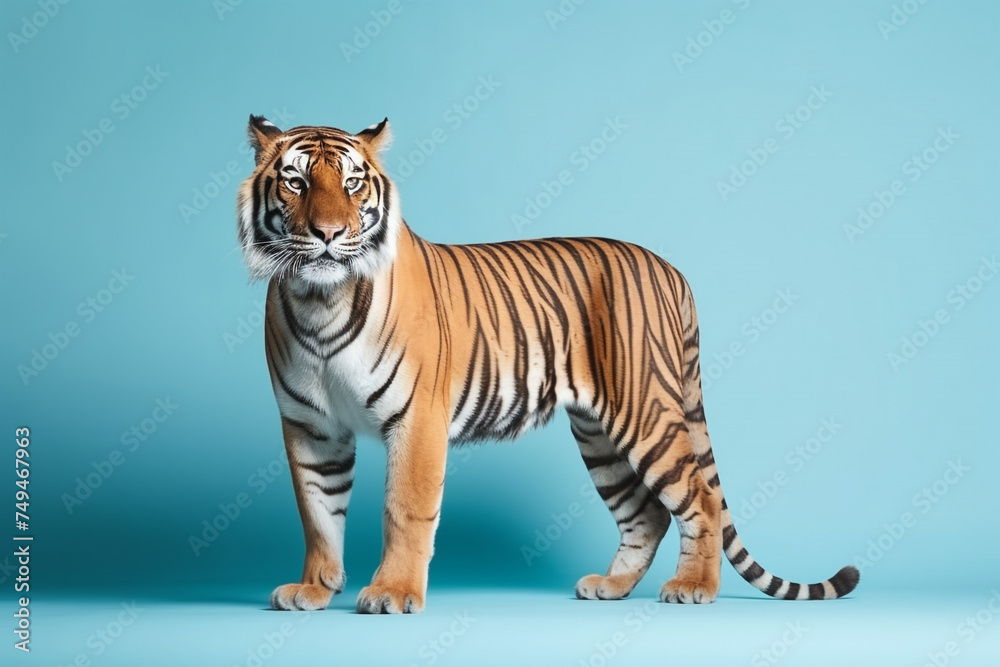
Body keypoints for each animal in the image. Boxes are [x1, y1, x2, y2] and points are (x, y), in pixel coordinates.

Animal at [236, 115, 860, 614]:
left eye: (352, 182)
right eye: (295, 182)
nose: (329, 234)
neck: (319, 300)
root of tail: (670, 268)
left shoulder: (415, 420)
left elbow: (404, 509)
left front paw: (392, 594)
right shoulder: (310, 426)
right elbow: (318, 514)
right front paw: (315, 590)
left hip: (645, 414)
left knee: (699, 498)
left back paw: (694, 588)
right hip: (599, 434)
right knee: (647, 515)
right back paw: (611, 586)